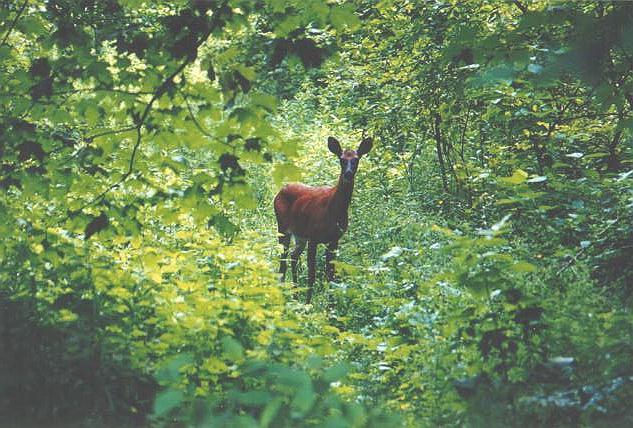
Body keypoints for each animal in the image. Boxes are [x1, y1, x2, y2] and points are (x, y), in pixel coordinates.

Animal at [272, 135, 370, 302]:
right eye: (341, 159)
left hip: (300, 235)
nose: (348, 174)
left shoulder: (334, 239)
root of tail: (280, 191)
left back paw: (295, 295)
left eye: (356, 159)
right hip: (283, 227)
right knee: (283, 260)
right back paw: (284, 295)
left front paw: (331, 307)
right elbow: (312, 275)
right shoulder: (314, 237)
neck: (333, 211)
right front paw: (308, 304)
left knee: (293, 256)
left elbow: (331, 276)